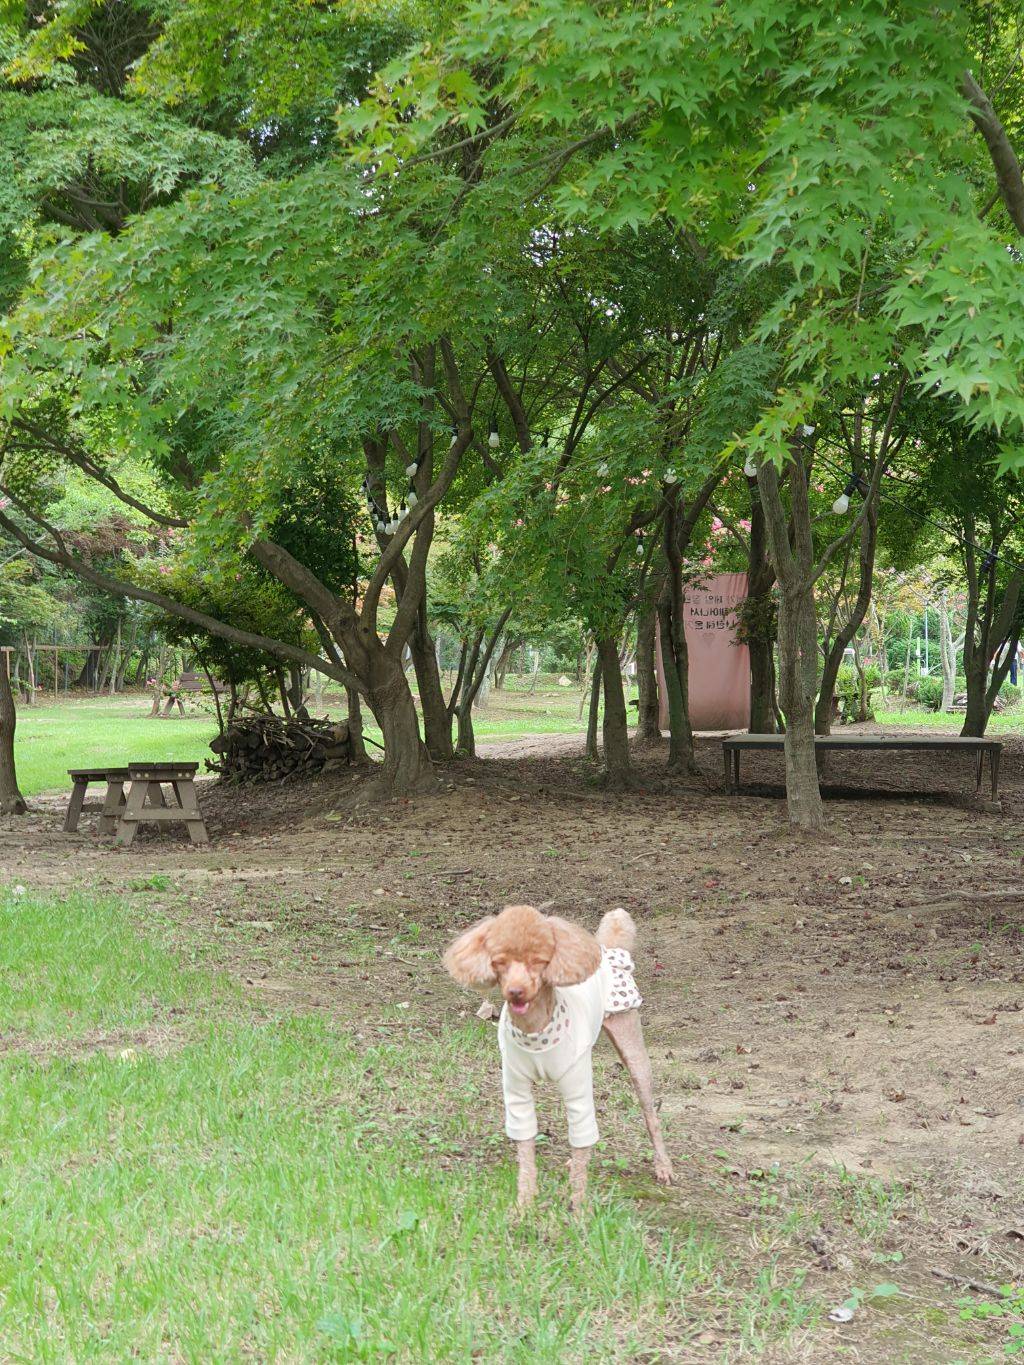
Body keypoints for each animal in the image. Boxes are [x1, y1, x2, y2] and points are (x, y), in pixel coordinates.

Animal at [442, 906, 674, 1206]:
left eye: (539, 961)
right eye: (499, 961)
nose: (515, 991)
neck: (536, 1031)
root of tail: (610, 947)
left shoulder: (577, 1090)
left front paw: (578, 1207)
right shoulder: (517, 1092)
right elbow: (527, 1149)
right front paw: (525, 1204)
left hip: (632, 1047)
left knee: (650, 1113)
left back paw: (663, 1166)